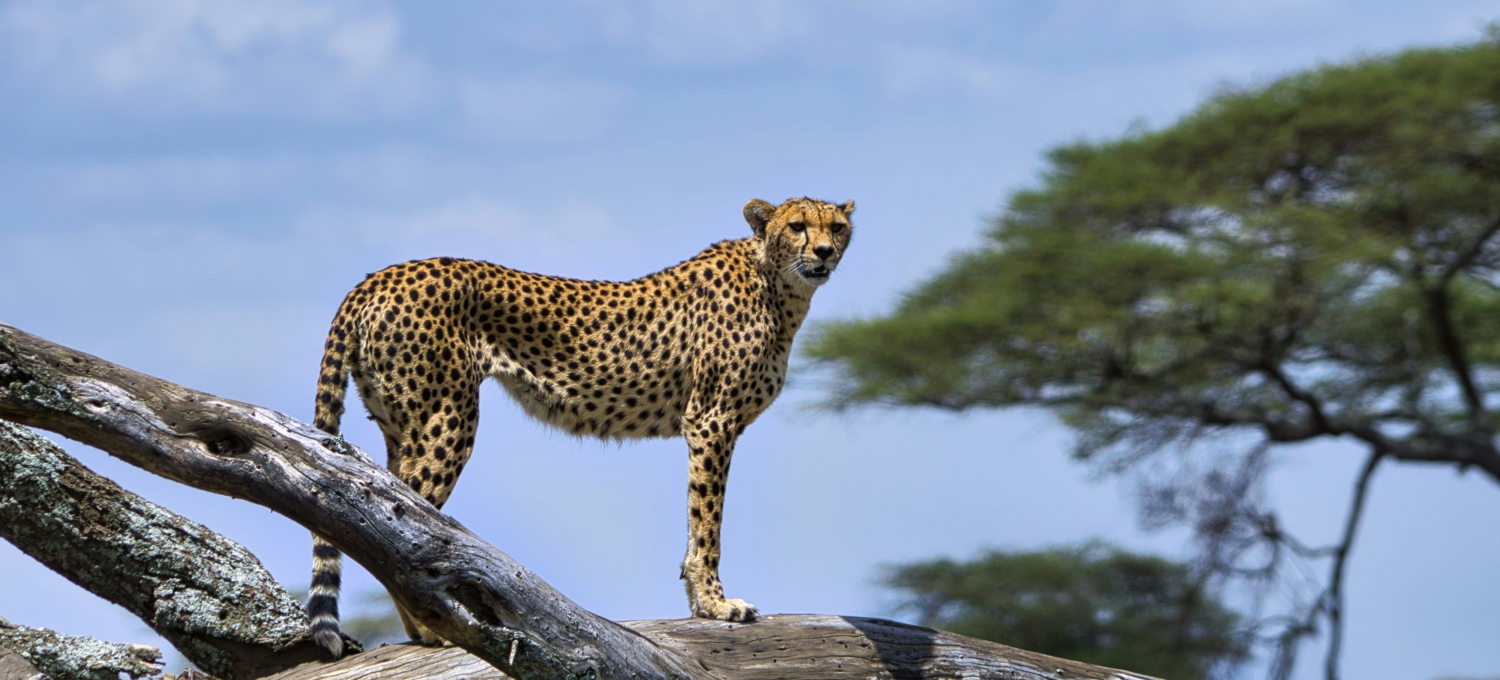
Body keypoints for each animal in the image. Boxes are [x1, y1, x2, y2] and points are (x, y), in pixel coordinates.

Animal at [306, 196, 855, 656]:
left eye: (838, 227)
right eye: (798, 226)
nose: (825, 252)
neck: (778, 285)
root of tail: (380, 276)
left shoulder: (712, 425)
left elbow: (697, 522)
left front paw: (701, 606)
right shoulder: (710, 421)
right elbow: (707, 522)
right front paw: (718, 606)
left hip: (401, 427)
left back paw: (423, 630)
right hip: (447, 419)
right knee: (397, 523)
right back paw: (434, 631)